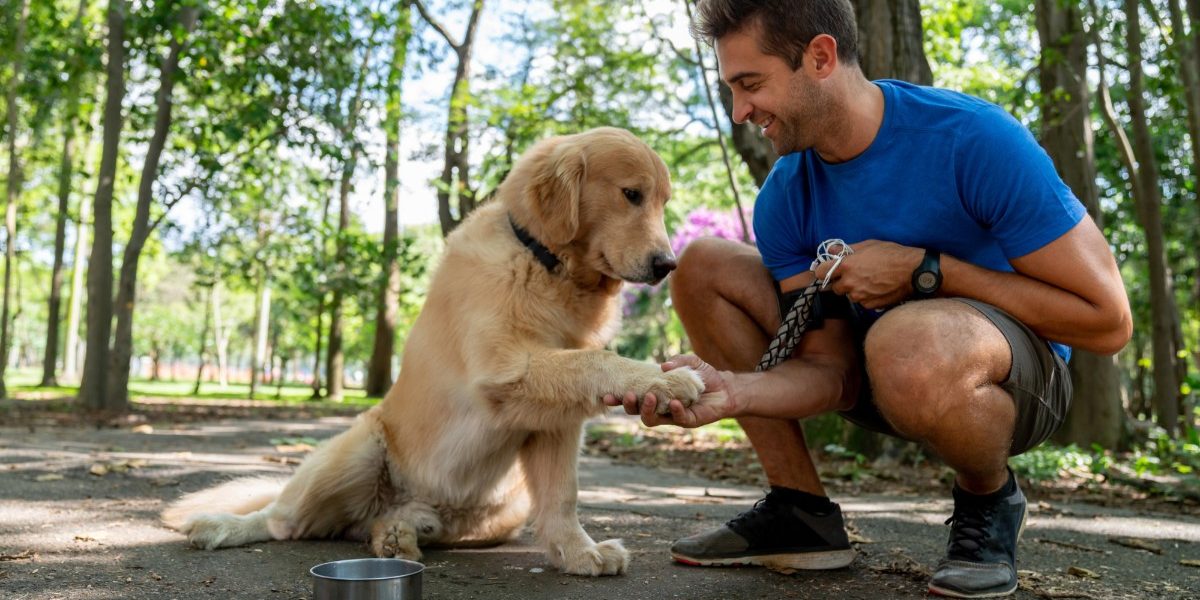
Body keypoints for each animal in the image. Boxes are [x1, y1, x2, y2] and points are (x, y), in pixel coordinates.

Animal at [158, 126, 700, 576]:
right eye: (631, 195)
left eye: (662, 202)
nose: (668, 265)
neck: (547, 265)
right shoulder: (502, 370)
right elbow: (596, 359)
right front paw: (664, 379)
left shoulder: (554, 423)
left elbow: (563, 496)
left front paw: (578, 553)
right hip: (355, 453)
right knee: (282, 520)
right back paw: (220, 526)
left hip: (499, 509)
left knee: (387, 524)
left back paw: (400, 533)